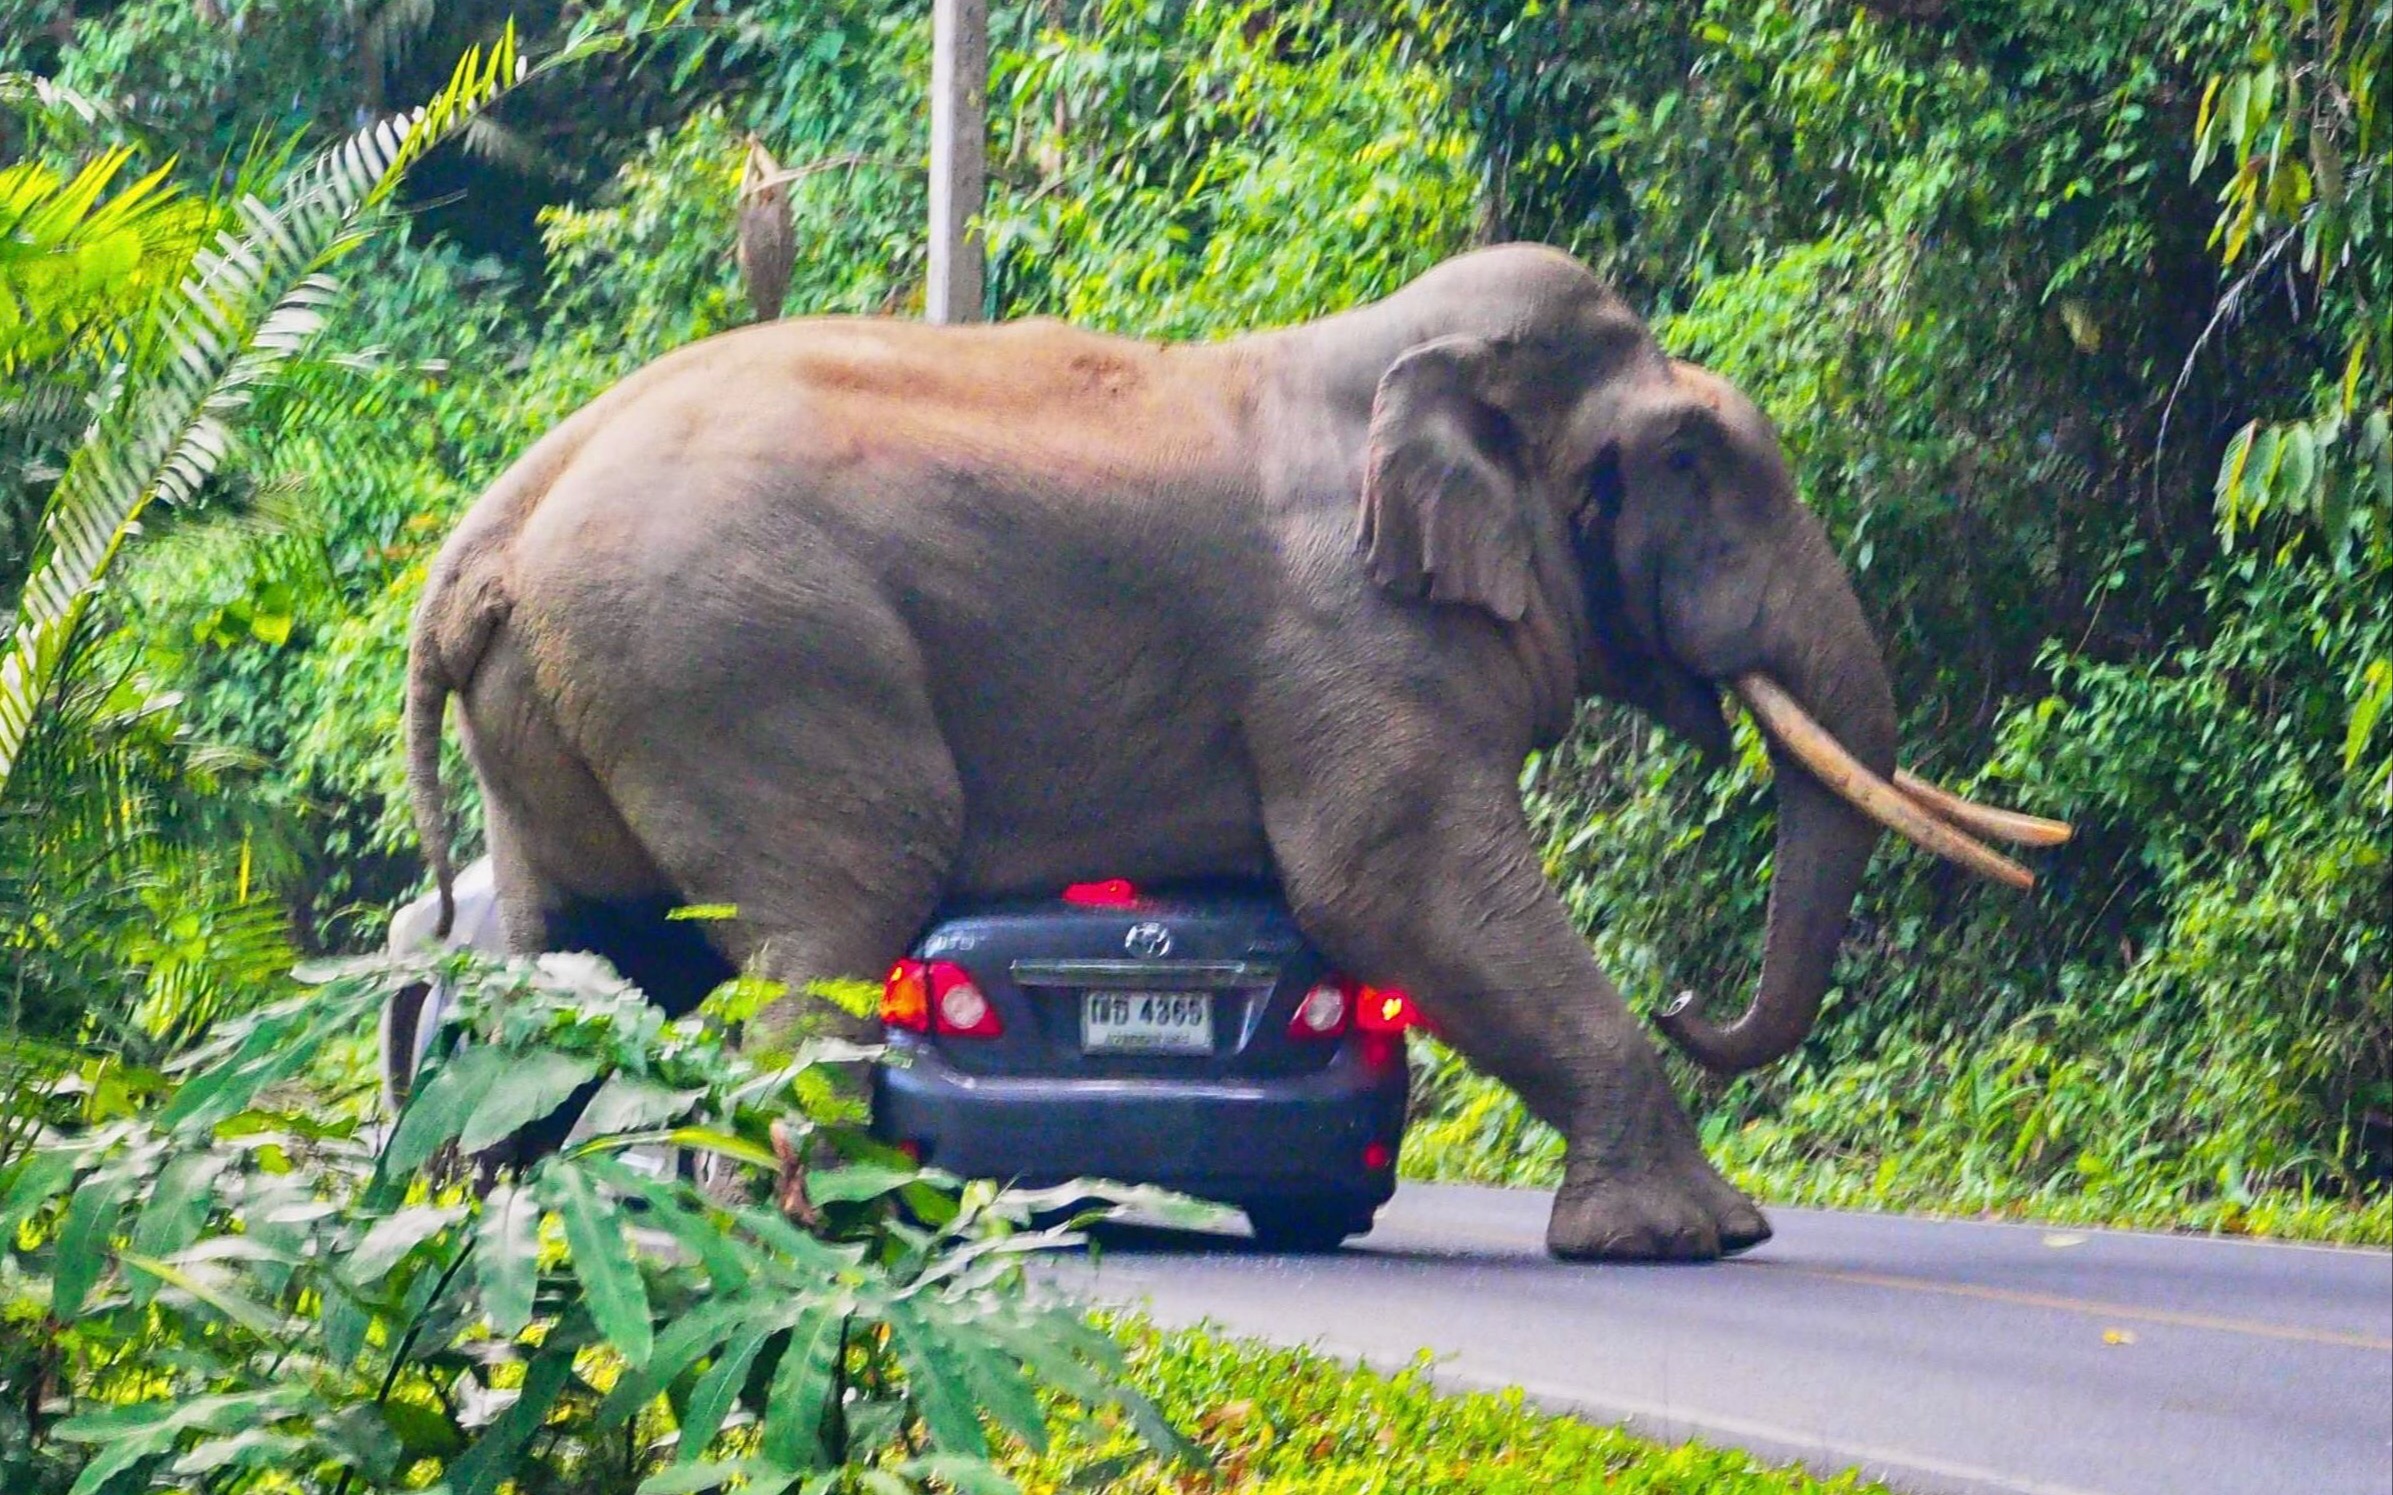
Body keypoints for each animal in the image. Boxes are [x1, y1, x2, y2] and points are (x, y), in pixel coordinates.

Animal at [406, 245, 2057, 1262]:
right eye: (1695, 463)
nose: (1691, 999)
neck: (1398, 355)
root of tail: (487, 534)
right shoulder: (1348, 639)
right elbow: (1394, 887)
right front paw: (1698, 1235)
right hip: (744, 664)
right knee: (828, 915)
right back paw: (797, 1234)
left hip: (576, 708)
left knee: (583, 953)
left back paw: (519, 1227)